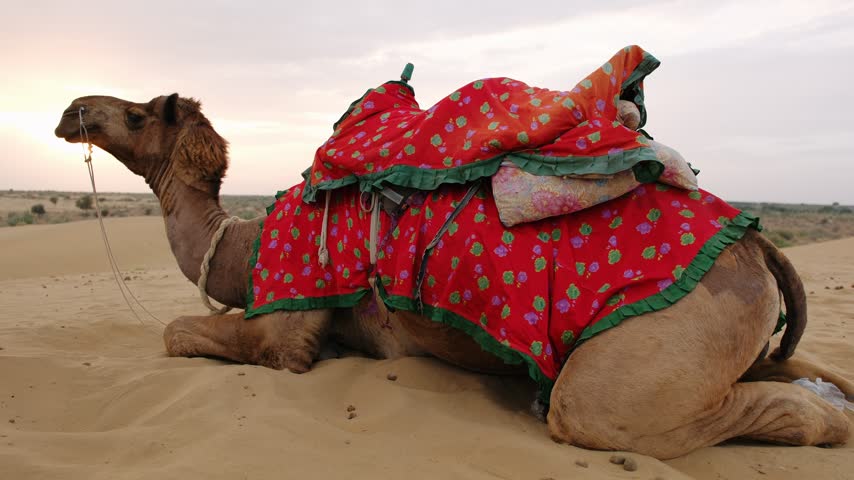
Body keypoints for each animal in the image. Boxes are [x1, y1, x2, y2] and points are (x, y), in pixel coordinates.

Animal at [54, 93, 852, 459]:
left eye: (137, 114)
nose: (70, 110)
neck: (243, 246)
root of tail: (760, 246)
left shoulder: (292, 311)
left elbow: (182, 332)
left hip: (656, 343)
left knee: (603, 412)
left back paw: (829, 422)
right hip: (738, 328)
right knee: (801, 366)